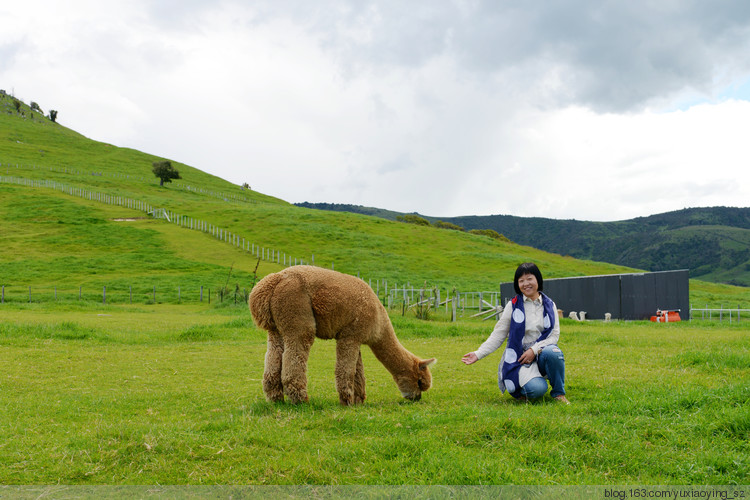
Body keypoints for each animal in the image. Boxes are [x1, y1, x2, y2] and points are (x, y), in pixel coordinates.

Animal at [250, 266, 438, 406]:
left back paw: (276, 400)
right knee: (295, 356)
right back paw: (301, 400)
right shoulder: (350, 336)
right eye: (420, 381)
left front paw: (358, 400)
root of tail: (275, 281)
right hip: (296, 313)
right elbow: (346, 370)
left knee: (273, 361)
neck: (379, 323)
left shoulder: (357, 338)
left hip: (275, 329)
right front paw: (346, 401)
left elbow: (358, 372)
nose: (416, 398)